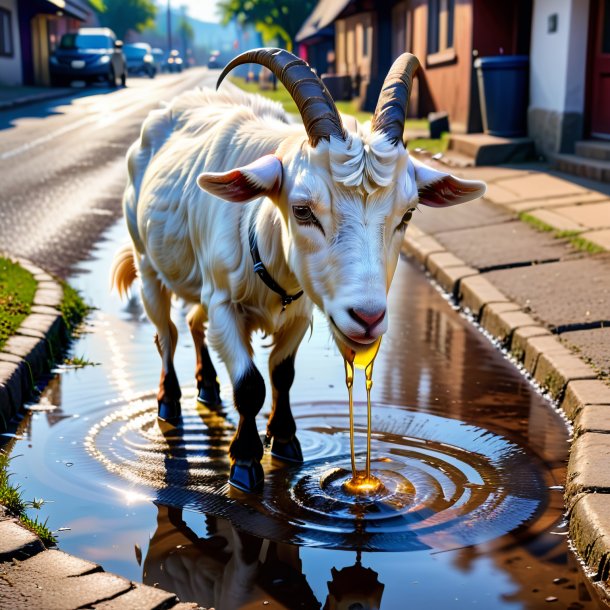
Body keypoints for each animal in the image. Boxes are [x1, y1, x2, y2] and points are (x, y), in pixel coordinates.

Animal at [111, 50, 484, 492]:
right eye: (303, 210)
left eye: (407, 214)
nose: (368, 318)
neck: (259, 234)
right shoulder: (223, 303)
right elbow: (250, 384)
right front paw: (245, 462)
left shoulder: (300, 311)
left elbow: (282, 374)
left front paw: (286, 440)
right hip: (146, 261)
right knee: (166, 333)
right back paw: (169, 402)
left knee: (192, 321)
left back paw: (207, 387)